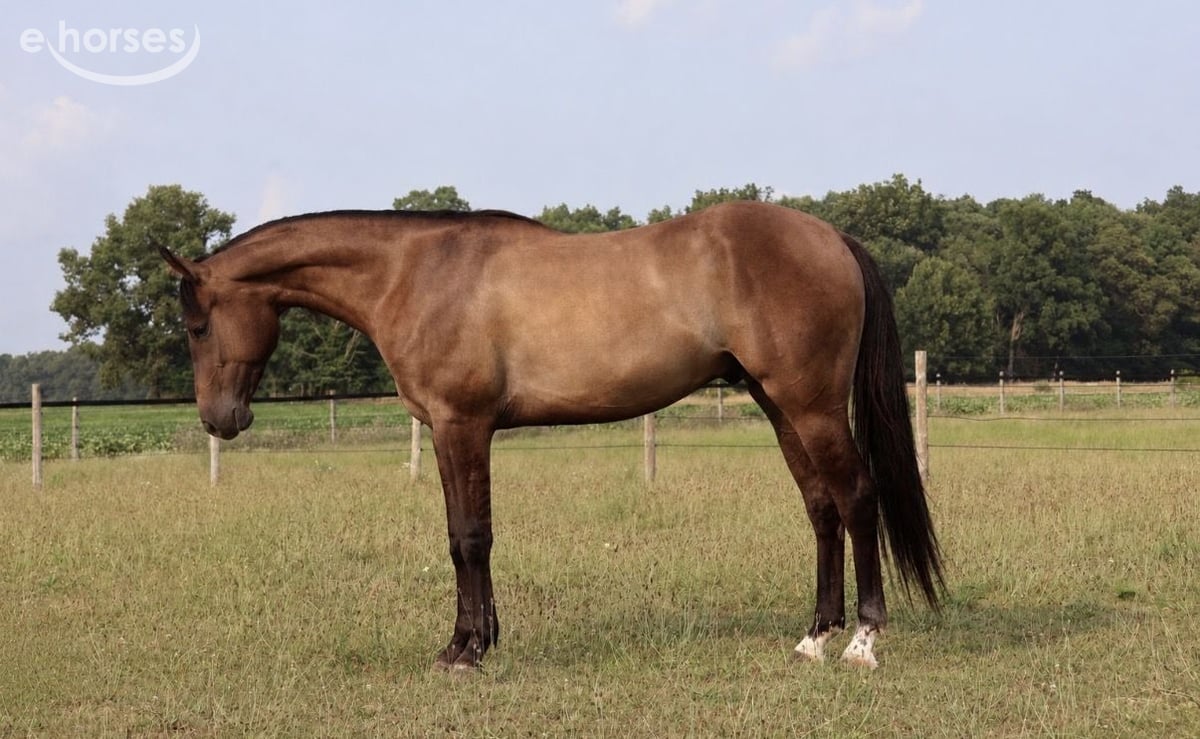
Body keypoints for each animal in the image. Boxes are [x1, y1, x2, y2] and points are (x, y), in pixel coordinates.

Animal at [160, 200, 943, 671]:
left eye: (197, 325)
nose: (220, 419)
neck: (415, 274)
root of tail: (830, 235)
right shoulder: (450, 432)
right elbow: (462, 536)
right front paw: (475, 640)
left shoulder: (462, 425)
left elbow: (470, 537)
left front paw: (466, 650)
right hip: (779, 405)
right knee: (821, 507)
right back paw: (815, 636)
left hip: (810, 405)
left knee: (858, 496)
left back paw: (864, 640)